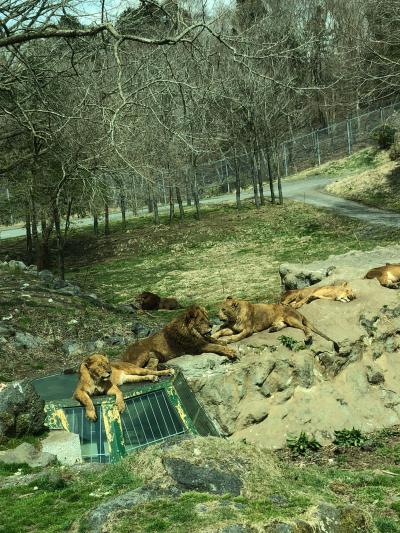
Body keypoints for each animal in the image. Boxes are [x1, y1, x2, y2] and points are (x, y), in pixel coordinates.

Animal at [211, 298, 340, 352]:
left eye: (223, 309)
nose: (217, 315)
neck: (234, 318)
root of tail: (298, 311)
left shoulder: (248, 330)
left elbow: (238, 336)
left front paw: (229, 339)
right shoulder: (233, 328)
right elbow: (221, 331)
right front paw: (213, 336)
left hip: (291, 318)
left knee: (305, 328)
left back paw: (308, 337)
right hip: (283, 321)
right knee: (284, 325)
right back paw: (273, 329)